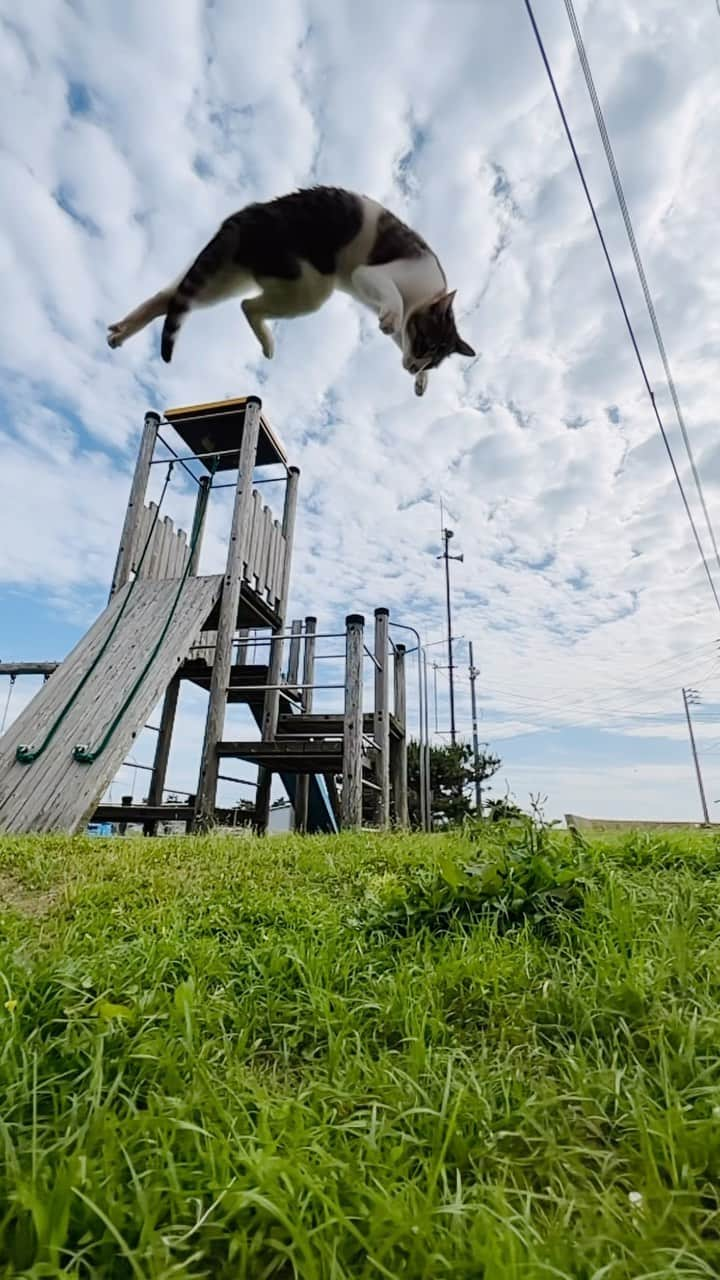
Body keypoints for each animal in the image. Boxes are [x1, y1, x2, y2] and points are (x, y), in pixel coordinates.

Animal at [106, 184, 474, 394]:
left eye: (433, 362)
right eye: (427, 344)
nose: (415, 368)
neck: (425, 295)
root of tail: (246, 214)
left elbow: (398, 336)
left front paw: (421, 380)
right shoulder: (370, 276)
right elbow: (393, 300)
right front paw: (393, 319)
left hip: (227, 278)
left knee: (172, 298)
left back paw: (121, 331)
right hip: (310, 286)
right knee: (246, 306)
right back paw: (268, 344)